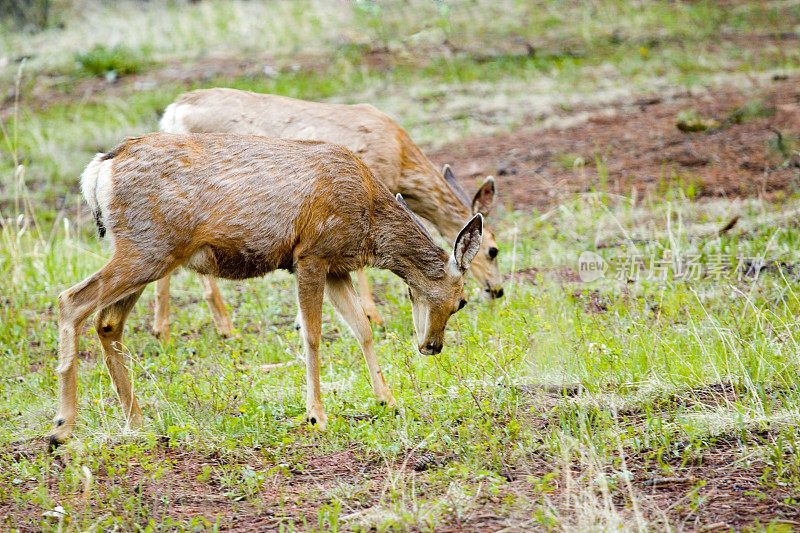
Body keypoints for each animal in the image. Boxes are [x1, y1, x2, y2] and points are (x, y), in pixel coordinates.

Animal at [54, 133, 488, 444]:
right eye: (463, 301)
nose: (432, 346)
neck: (368, 221)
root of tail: (99, 169)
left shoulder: (337, 266)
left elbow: (362, 329)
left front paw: (388, 399)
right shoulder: (311, 254)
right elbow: (312, 334)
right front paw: (316, 414)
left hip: (147, 251)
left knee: (108, 323)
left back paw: (136, 422)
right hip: (148, 248)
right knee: (71, 300)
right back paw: (62, 429)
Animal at [155, 85, 500, 338]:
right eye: (494, 250)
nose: (497, 290)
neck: (402, 160)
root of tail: (172, 111)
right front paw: (372, 314)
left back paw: (169, 330)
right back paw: (216, 328)